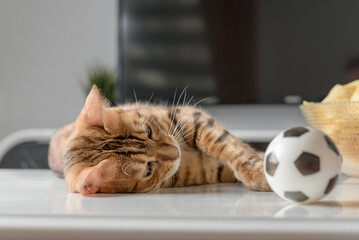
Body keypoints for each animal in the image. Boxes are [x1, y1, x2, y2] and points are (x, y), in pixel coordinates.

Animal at [47, 86, 270, 195]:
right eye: (148, 169)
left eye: (148, 130)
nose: (176, 152)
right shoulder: (211, 168)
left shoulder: (190, 117)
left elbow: (229, 146)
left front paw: (259, 171)